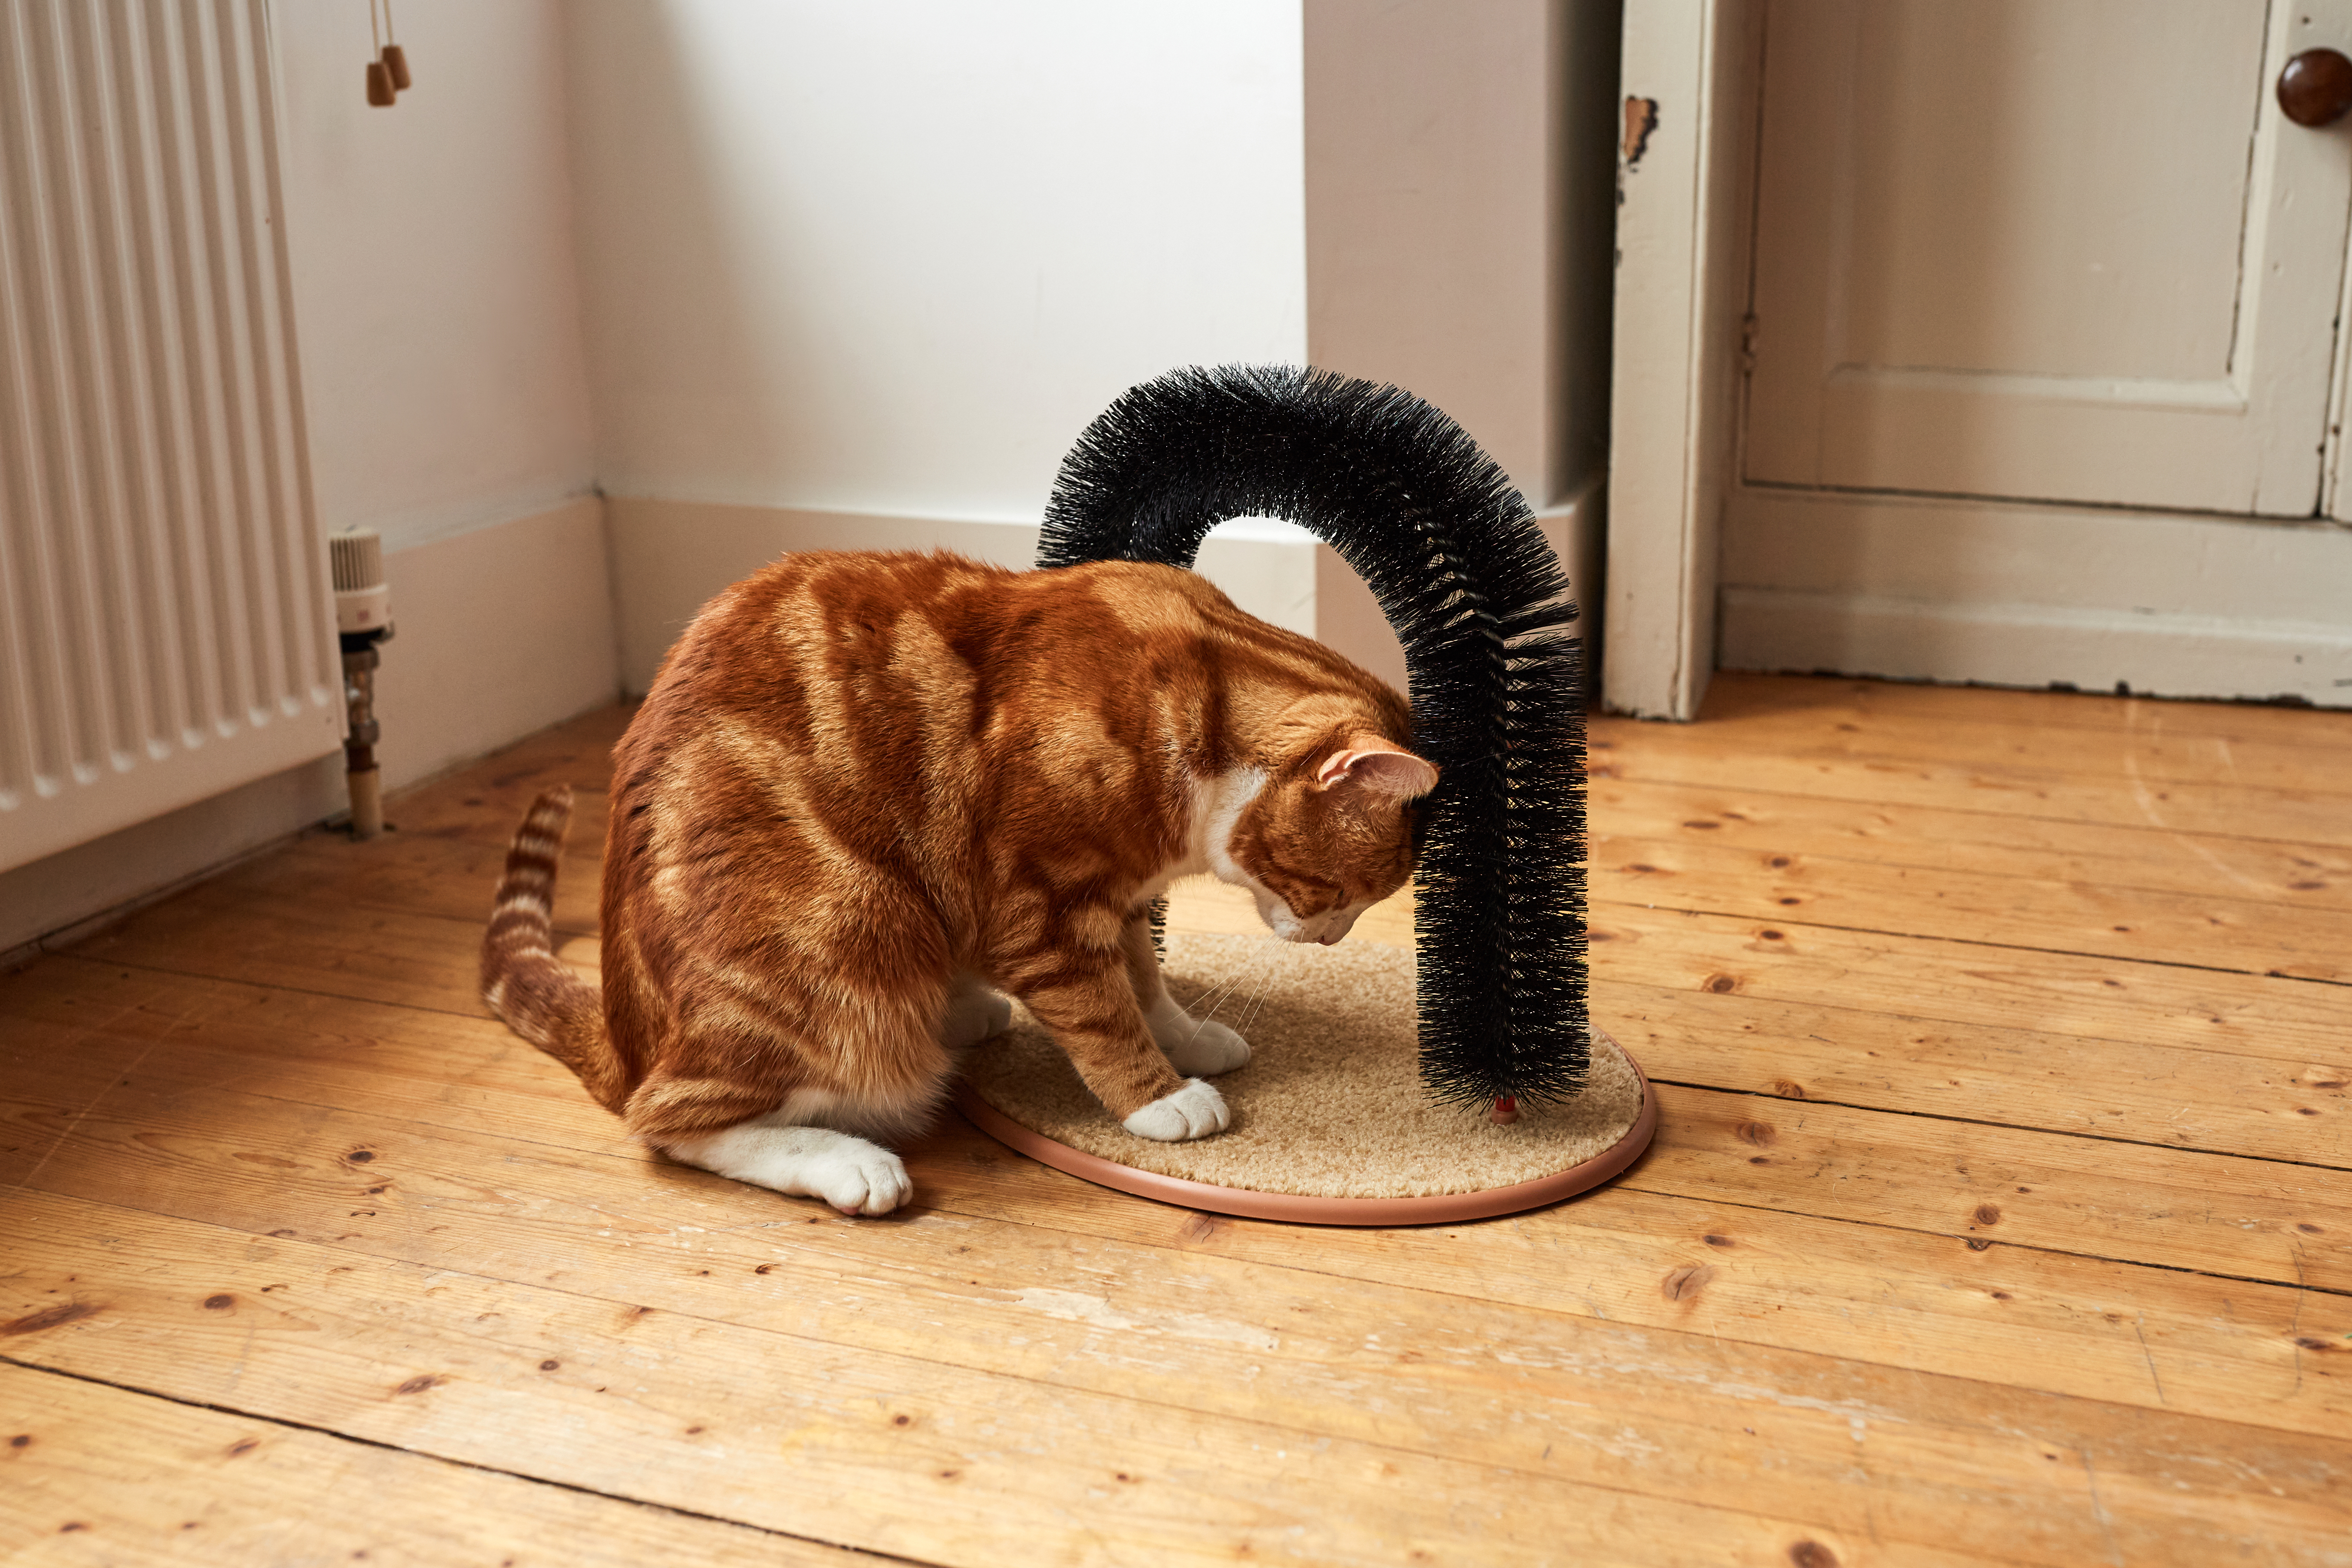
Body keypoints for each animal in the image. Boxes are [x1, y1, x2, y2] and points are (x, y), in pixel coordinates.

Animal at [477, 550, 1430, 1213]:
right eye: (1345, 895)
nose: (1331, 937)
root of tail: (626, 1033)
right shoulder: (1043, 906)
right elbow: (1104, 1013)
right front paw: (1159, 1097)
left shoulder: (1116, 893)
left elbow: (1147, 983)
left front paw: (1187, 1038)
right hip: (850, 943)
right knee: (670, 1118)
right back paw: (851, 1163)